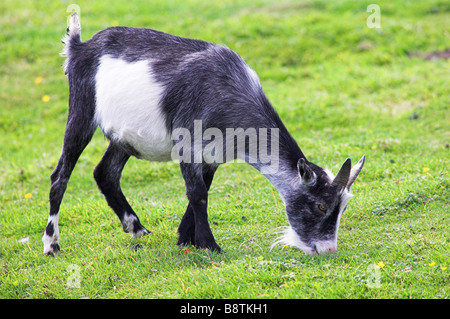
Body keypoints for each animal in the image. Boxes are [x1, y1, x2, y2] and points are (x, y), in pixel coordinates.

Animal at [43, 13, 366, 258]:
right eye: (321, 205)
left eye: (343, 206)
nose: (328, 249)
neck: (228, 93)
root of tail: (79, 47)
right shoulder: (187, 144)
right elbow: (197, 194)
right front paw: (210, 246)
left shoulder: (212, 154)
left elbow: (202, 191)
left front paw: (186, 239)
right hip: (81, 109)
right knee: (61, 175)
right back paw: (51, 243)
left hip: (123, 138)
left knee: (105, 172)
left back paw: (136, 228)